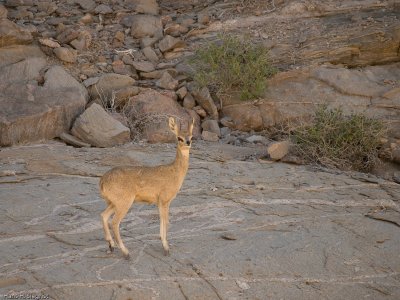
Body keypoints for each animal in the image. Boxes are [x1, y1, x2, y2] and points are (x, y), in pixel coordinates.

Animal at [99, 117, 194, 258]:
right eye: (179, 138)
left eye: (191, 136)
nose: (188, 143)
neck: (174, 173)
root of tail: (102, 182)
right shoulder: (164, 199)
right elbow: (166, 221)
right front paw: (166, 248)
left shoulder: (159, 202)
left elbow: (162, 221)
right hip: (124, 202)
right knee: (114, 222)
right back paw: (126, 252)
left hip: (113, 202)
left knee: (103, 216)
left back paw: (111, 246)